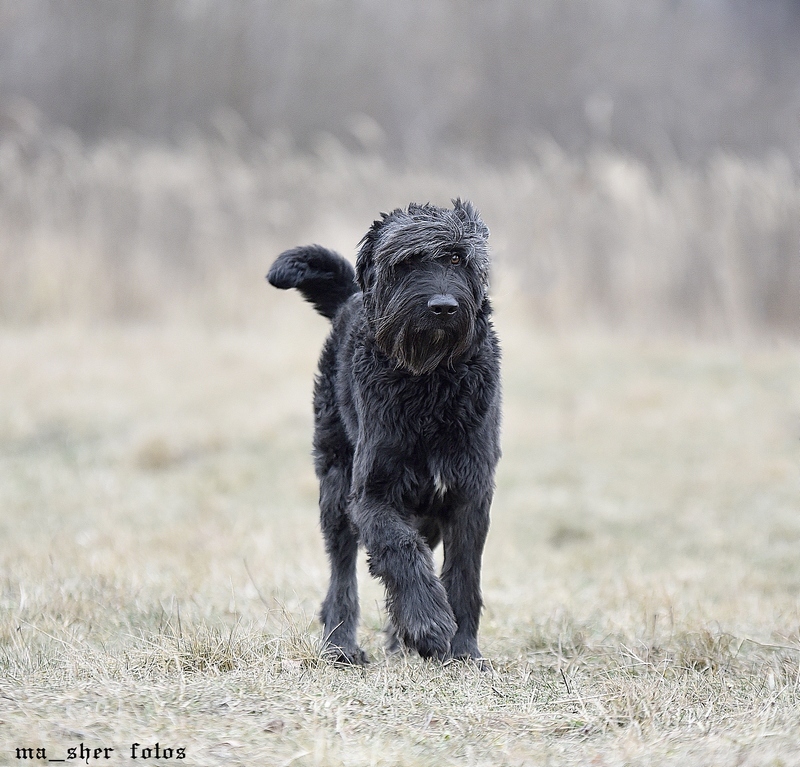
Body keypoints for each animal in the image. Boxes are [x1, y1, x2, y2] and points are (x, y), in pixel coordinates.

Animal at [272, 201, 504, 664]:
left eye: (457, 258)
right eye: (407, 262)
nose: (443, 306)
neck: (430, 385)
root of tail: (350, 298)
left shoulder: (470, 492)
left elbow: (463, 575)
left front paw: (464, 651)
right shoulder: (371, 494)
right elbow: (400, 550)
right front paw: (429, 623)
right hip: (335, 486)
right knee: (342, 574)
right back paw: (341, 645)